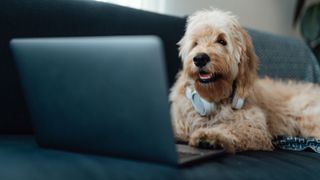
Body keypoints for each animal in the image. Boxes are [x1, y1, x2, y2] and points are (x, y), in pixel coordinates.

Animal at [170, 9, 320, 153]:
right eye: (195, 43)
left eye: (222, 41)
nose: (200, 58)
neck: (212, 99)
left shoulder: (255, 125)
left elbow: (232, 128)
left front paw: (211, 136)